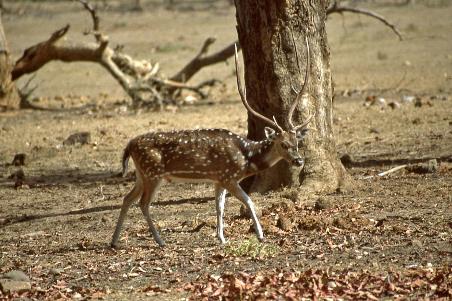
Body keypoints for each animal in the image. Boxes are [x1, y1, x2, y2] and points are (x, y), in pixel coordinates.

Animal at [111, 36, 312, 246]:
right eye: (283, 144)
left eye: (297, 142)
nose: (299, 160)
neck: (246, 158)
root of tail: (130, 145)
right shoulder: (228, 176)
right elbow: (249, 201)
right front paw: (260, 234)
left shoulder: (218, 179)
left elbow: (219, 206)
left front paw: (221, 237)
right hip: (153, 173)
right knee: (143, 203)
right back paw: (160, 240)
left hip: (141, 174)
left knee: (127, 198)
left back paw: (114, 241)